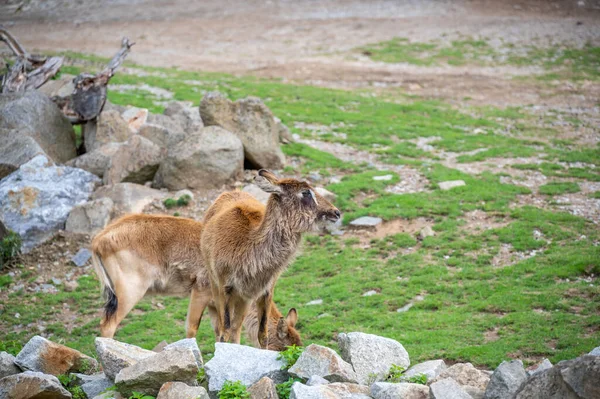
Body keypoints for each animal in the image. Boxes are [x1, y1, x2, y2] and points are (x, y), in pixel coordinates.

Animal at [91, 212, 302, 350]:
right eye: (285, 347)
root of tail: (99, 241)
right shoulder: (201, 292)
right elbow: (192, 329)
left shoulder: (215, 306)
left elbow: (221, 333)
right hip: (129, 293)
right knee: (107, 325)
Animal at [202, 170, 340, 348]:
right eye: (306, 192)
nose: (336, 212)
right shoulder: (225, 287)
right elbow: (224, 332)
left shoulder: (265, 290)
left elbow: (263, 335)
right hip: (217, 287)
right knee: (224, 328)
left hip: (244, 299)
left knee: (236, 327)